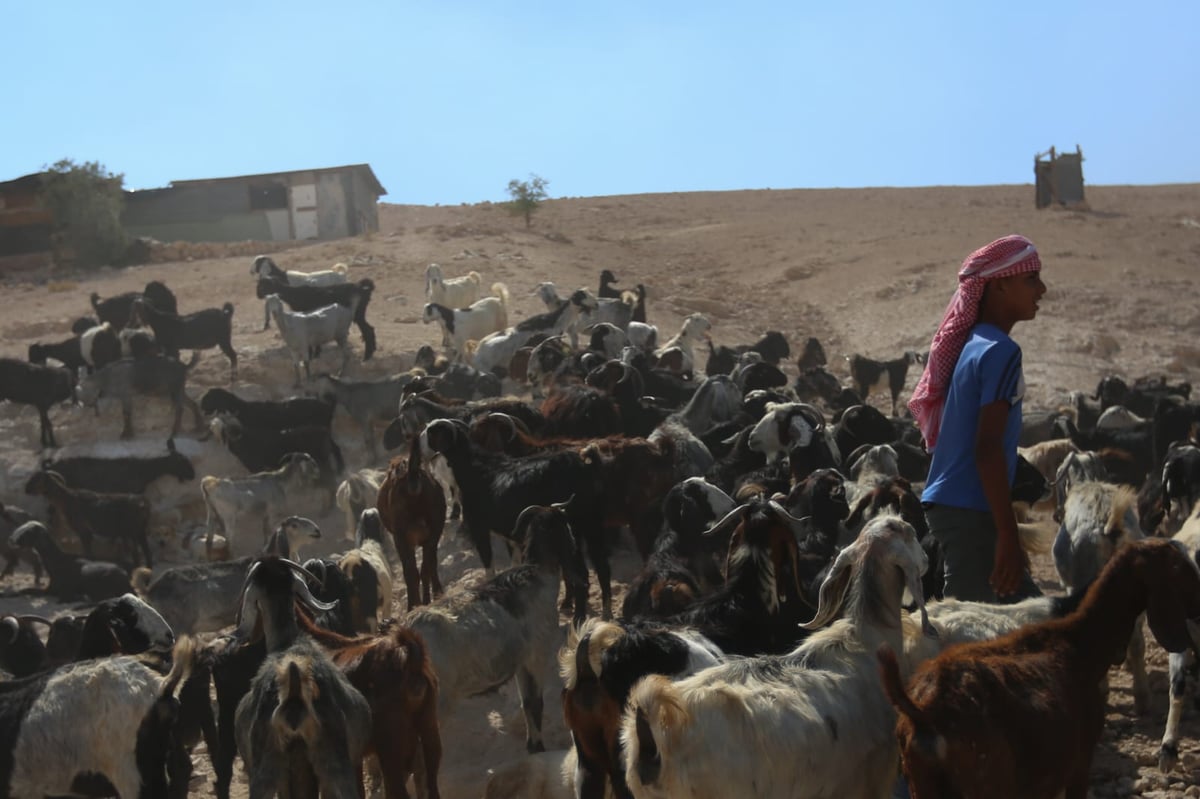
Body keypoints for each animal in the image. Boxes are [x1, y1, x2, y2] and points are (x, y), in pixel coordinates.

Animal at [77, 352, 205, 439]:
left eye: (84, 392)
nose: (86, 405)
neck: (107, 377)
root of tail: (184, 366)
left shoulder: (126, 394)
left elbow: (126, 414)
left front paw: (126, 434)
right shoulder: (126, 396)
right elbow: (127, 413)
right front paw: (128, 433)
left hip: (175, 390)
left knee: (180, 409)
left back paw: (175, 432)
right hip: (180, 390)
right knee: (192, 404)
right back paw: (198, 427)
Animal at [374, 436, 446, 604]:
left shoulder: (403, 539)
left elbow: (413, 570)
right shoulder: (430, 535)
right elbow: (426, 566)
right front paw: (427, 599)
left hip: (403, 536)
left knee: (413, 570)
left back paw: (414, 604)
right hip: (433, 530)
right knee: (427, 565)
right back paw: (434, 594)